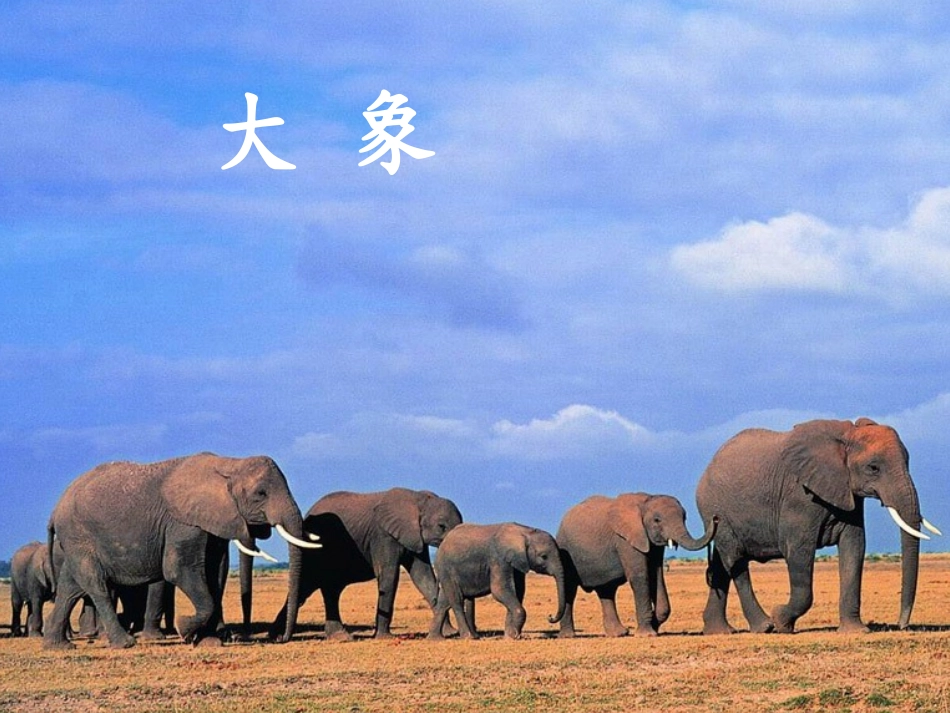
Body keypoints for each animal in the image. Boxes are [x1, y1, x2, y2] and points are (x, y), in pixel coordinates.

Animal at [43, 452, 321, 649]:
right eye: (260, 494)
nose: (280, 639)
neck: (229, 464)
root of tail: (55, 510)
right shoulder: (182, 523)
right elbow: (178, 569)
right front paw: (183, 629)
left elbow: (215, 574)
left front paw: (208, 642)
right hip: (79, 534)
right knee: (95, 584)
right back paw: (124, 643)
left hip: (75, 540)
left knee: (70, 586)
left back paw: (58, 646)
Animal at [269, 487, 463, 640]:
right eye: (441, 526)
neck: (418, 499)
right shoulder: (383, 536)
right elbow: (389, 575)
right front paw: (384, 637)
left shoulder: (415, 537)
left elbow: (424, 578)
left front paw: (450, 632)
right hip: (315, 552)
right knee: (308, 585)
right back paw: (279, 635)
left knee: (326, 590)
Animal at [428, 522, 566, 640]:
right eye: (544, 556)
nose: (550, 617)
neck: (525, 531)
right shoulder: (499, 558)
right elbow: (499, 590)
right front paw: (513, 636)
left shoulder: (517, 562)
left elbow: (518, 591)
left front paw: (510, 636)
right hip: (446, 569)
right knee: (457, 600)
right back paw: (468, 637)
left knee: (443, 603)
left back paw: (435, 639)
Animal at [556, 493, 717, 638]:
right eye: (657, 520)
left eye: (684, 517)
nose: (715, 518)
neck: (645, 501)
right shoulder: (626, 539)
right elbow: (640, 577)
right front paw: (647, 634)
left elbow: (656, 576)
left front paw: (654, 624)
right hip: (565, 550)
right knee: (570, 589)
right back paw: (568, 636)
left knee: (606, 591)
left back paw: (618, 634)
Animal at [696, 418, 941, 635]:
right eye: (873, 468)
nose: (901, 625)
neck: (846, 436)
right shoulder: (798, 496)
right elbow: (798, 551)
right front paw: (782, 622)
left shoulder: (847, 492)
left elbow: (854, 547)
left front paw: (856, 631)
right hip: (716, 511)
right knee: (734, 559)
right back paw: (765, 627)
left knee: (721, 564)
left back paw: (720, 631)